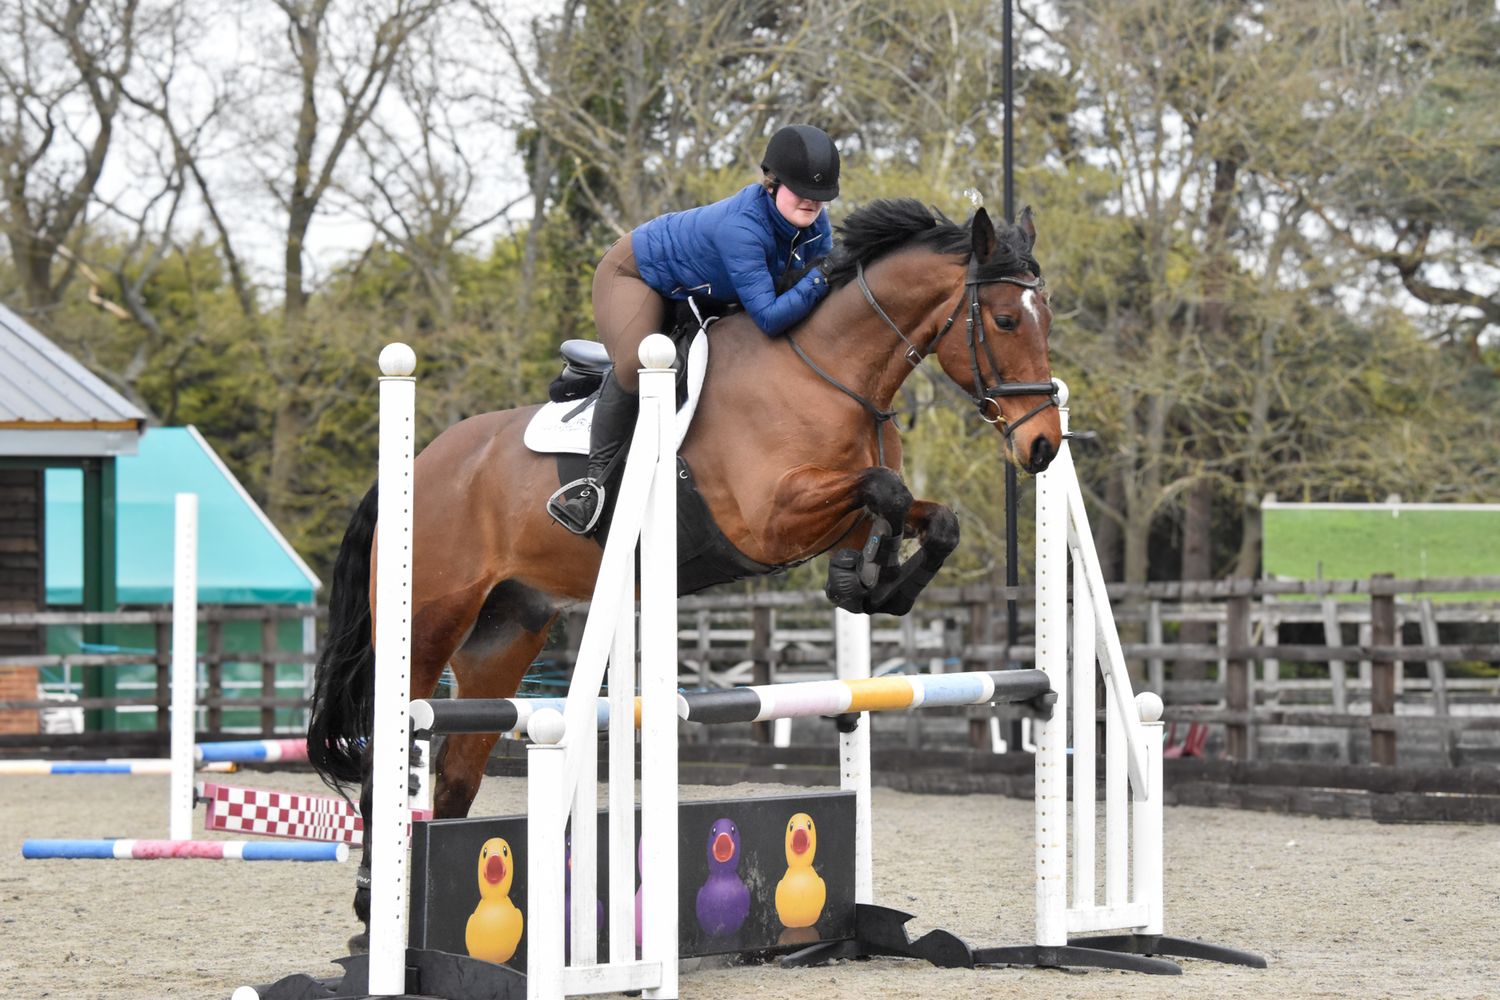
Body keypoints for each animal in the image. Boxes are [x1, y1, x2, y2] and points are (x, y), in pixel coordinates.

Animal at [306, 198, 1061, 944]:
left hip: (504, 633)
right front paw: (867, 574)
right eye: (1004, 320)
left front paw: (869, 581)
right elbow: (885, 490)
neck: (830, 373)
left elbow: (926, 515)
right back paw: (372, 914)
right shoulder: (767, 519)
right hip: (428, 624)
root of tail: (417, 466)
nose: (1043, 445)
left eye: (1046, 318)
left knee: (457, 774)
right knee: (387, 752)